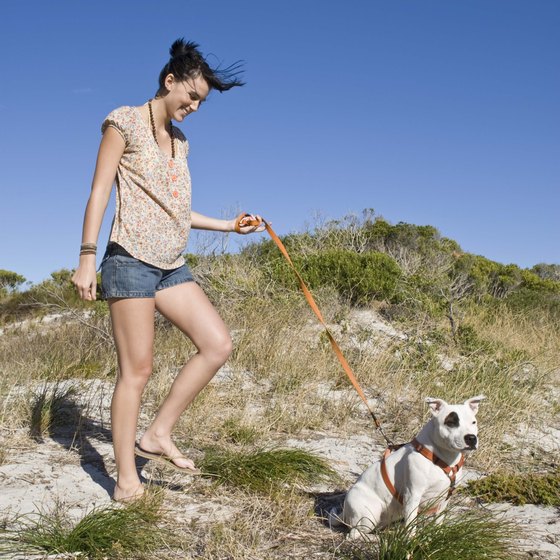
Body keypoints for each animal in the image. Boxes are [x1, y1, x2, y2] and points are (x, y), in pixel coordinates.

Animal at [330, 396, 484, 540]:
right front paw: (411, 540)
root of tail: (344, 511)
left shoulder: (444, 499)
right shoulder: (412, 495)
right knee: (354, 533)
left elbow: (438, 521)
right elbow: (411, 524)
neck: (441, 458)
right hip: (369, 514)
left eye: (473, 422)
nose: (471, 438)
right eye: (451, 422)